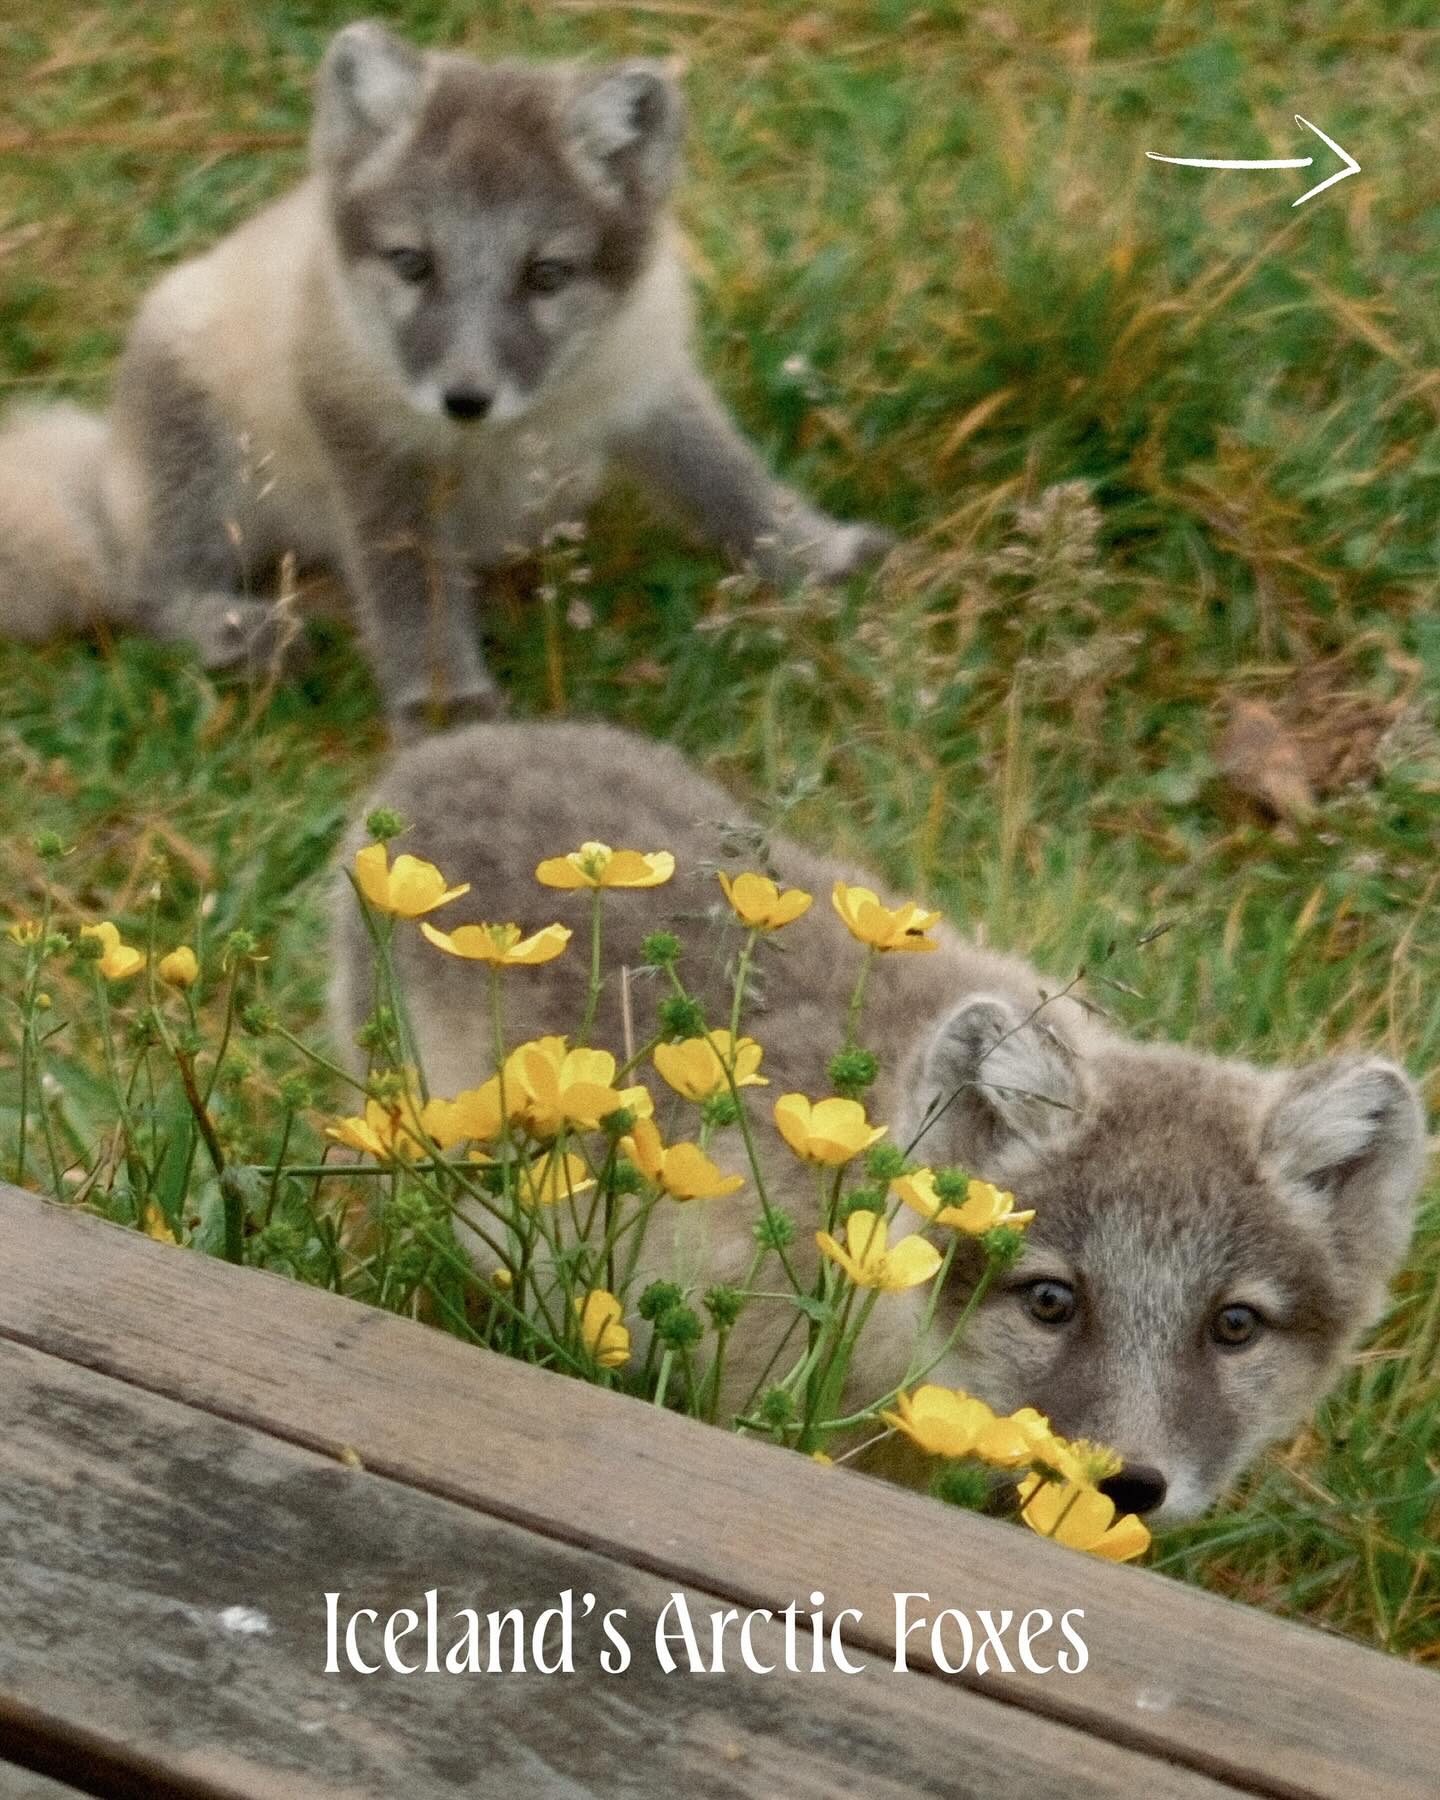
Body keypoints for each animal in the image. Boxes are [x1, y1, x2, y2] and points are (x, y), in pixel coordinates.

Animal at [0, 22, 890, 735]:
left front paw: (815, 553)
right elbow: (408, 584)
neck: (520, 428)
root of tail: (104, 466)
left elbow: (731, 480)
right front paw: (444, 706)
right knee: (145, 588)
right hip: (192, 450)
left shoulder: (649, 380)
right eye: (412, 262)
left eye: (546, 274)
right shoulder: (367, 446)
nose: (465, 399)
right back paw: (233, 628)